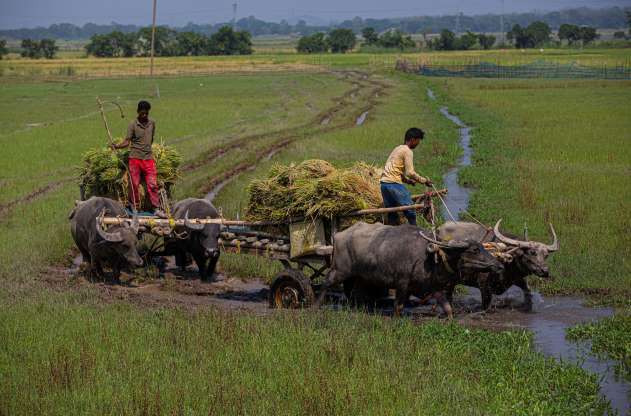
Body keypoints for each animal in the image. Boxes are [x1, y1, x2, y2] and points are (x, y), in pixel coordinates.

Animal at [316, 223, 504, 316]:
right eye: (475, 250)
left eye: (482, 247)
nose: (499, 265)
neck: (429, 258)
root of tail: (339, 235)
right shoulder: (402, 284)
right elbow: (398, 307)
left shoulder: (434, 287)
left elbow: (447, 307)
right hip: (339, 270)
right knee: (326, 283)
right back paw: (316, 305)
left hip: (355, 275)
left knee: (349, 290)